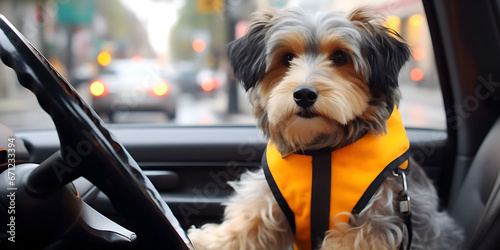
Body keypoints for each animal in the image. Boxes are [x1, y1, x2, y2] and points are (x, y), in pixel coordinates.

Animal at [188, 6, 464, 249]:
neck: (321, 151)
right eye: (287, 58)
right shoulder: (271, 199)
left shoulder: (374, 220)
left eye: (340, 57)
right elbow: (248, 224)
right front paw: (208, 242)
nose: (304, 94)